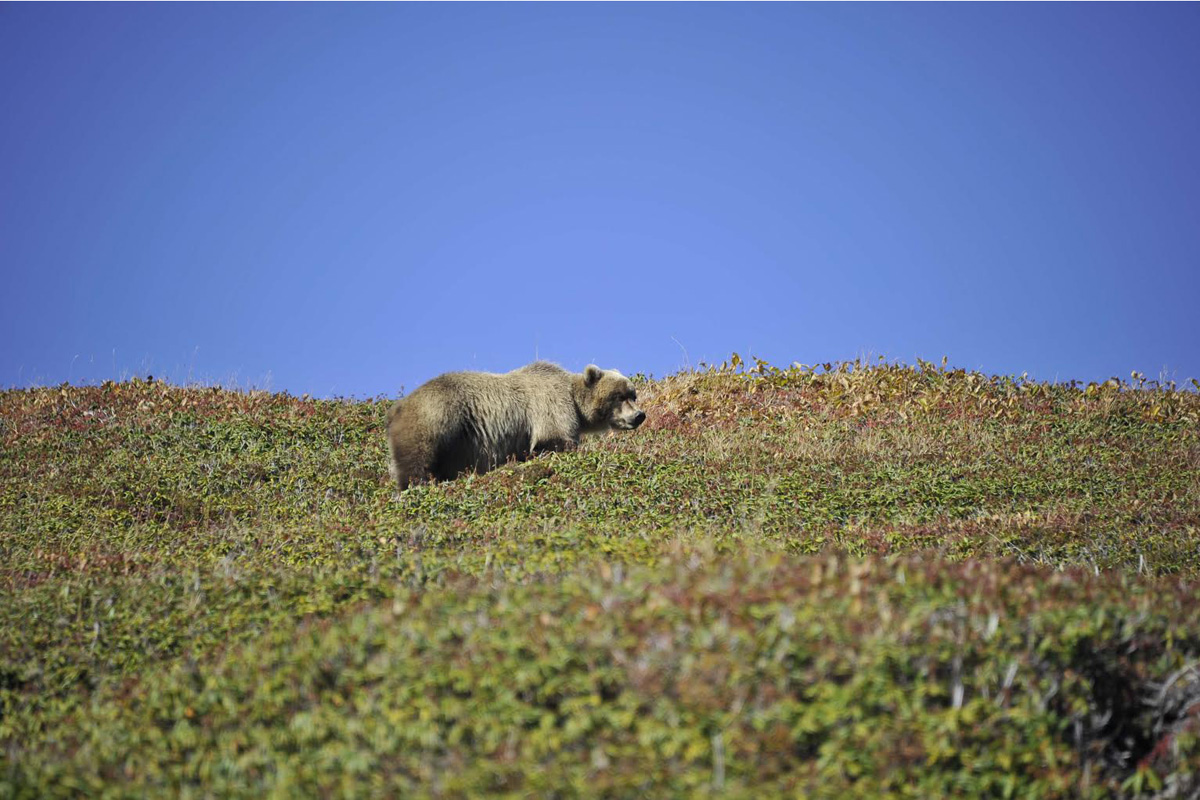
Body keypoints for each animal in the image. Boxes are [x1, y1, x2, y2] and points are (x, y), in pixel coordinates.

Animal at [388, 362, 643, 489]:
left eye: (633, 394)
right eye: (619, 396)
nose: (639, 415)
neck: (574, 400)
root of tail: (397, 408)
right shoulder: (551, 405)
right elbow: (552, 440)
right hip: (435, 418)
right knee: (416, 460)